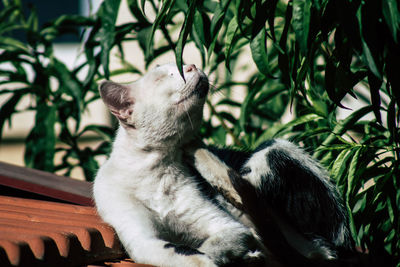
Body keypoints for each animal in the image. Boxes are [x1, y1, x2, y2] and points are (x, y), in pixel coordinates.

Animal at [93, 63, 354, 267]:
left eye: (182, 65)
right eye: (161, 77)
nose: (191, 65)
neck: (158, 168)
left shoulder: (226, 225)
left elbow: (210, 245)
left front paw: (240, 255)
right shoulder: (142, 239)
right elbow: (178, 251)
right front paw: (237, 256)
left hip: (271, 151)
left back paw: (200, 153)